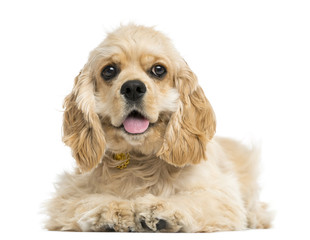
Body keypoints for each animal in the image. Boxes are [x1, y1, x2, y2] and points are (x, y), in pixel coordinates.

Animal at [45, 24, 272, 232]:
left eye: (158, 70)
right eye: (109, 71)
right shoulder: (68, 192)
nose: (133, 87)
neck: (140, 159)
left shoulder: (220, 194)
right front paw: (111, 210)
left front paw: (160, 209)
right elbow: (85, 200)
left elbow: (194, 201)